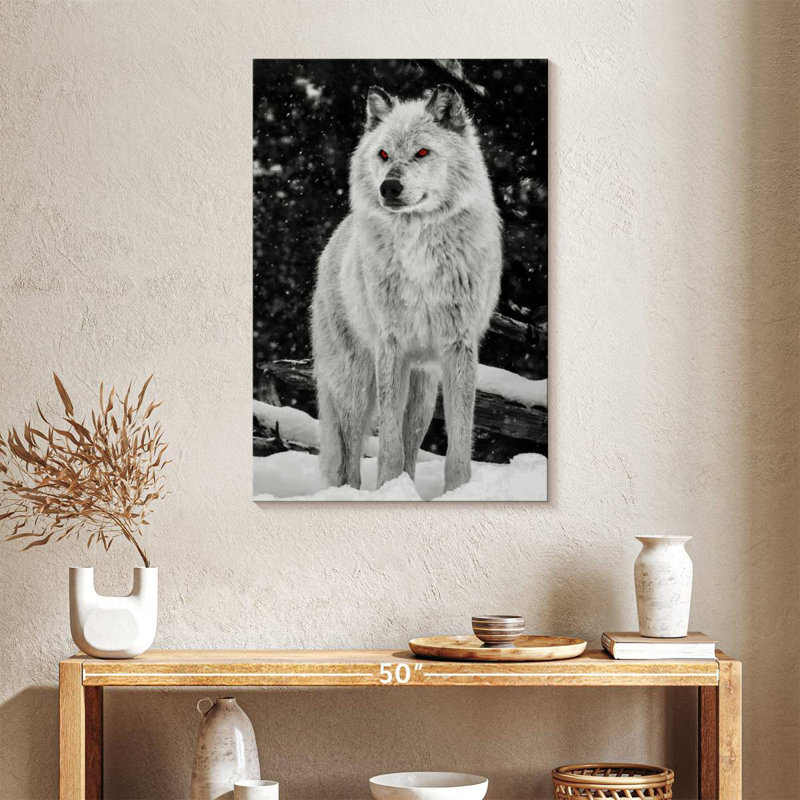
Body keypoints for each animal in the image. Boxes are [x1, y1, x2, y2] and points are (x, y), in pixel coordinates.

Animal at [311, 84, 502, 493]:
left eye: (422, 153)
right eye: (383, 155)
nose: (390, 187)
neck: (420, 250)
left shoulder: (458, 347)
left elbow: (458, 444)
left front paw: (457, 492)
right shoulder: (391, 347)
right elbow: (388, 446)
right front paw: (387, 488)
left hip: (423, 391)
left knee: (412, 437)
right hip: (355, 384)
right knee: (350, 456)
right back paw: (354, 494)